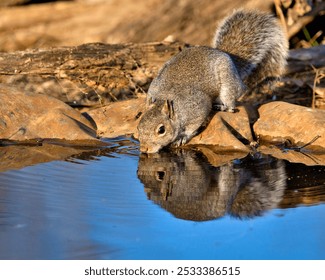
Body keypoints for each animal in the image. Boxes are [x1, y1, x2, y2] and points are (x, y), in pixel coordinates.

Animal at [136, 9, 286, 153]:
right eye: (138, 126)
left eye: (161, 130)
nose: (144, 149)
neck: (167, 100)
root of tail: (227, 56)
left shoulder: (198, 108)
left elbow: (192, 127)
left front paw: (182, 137)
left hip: (228, 87)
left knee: (231, 105)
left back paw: (223, 106)